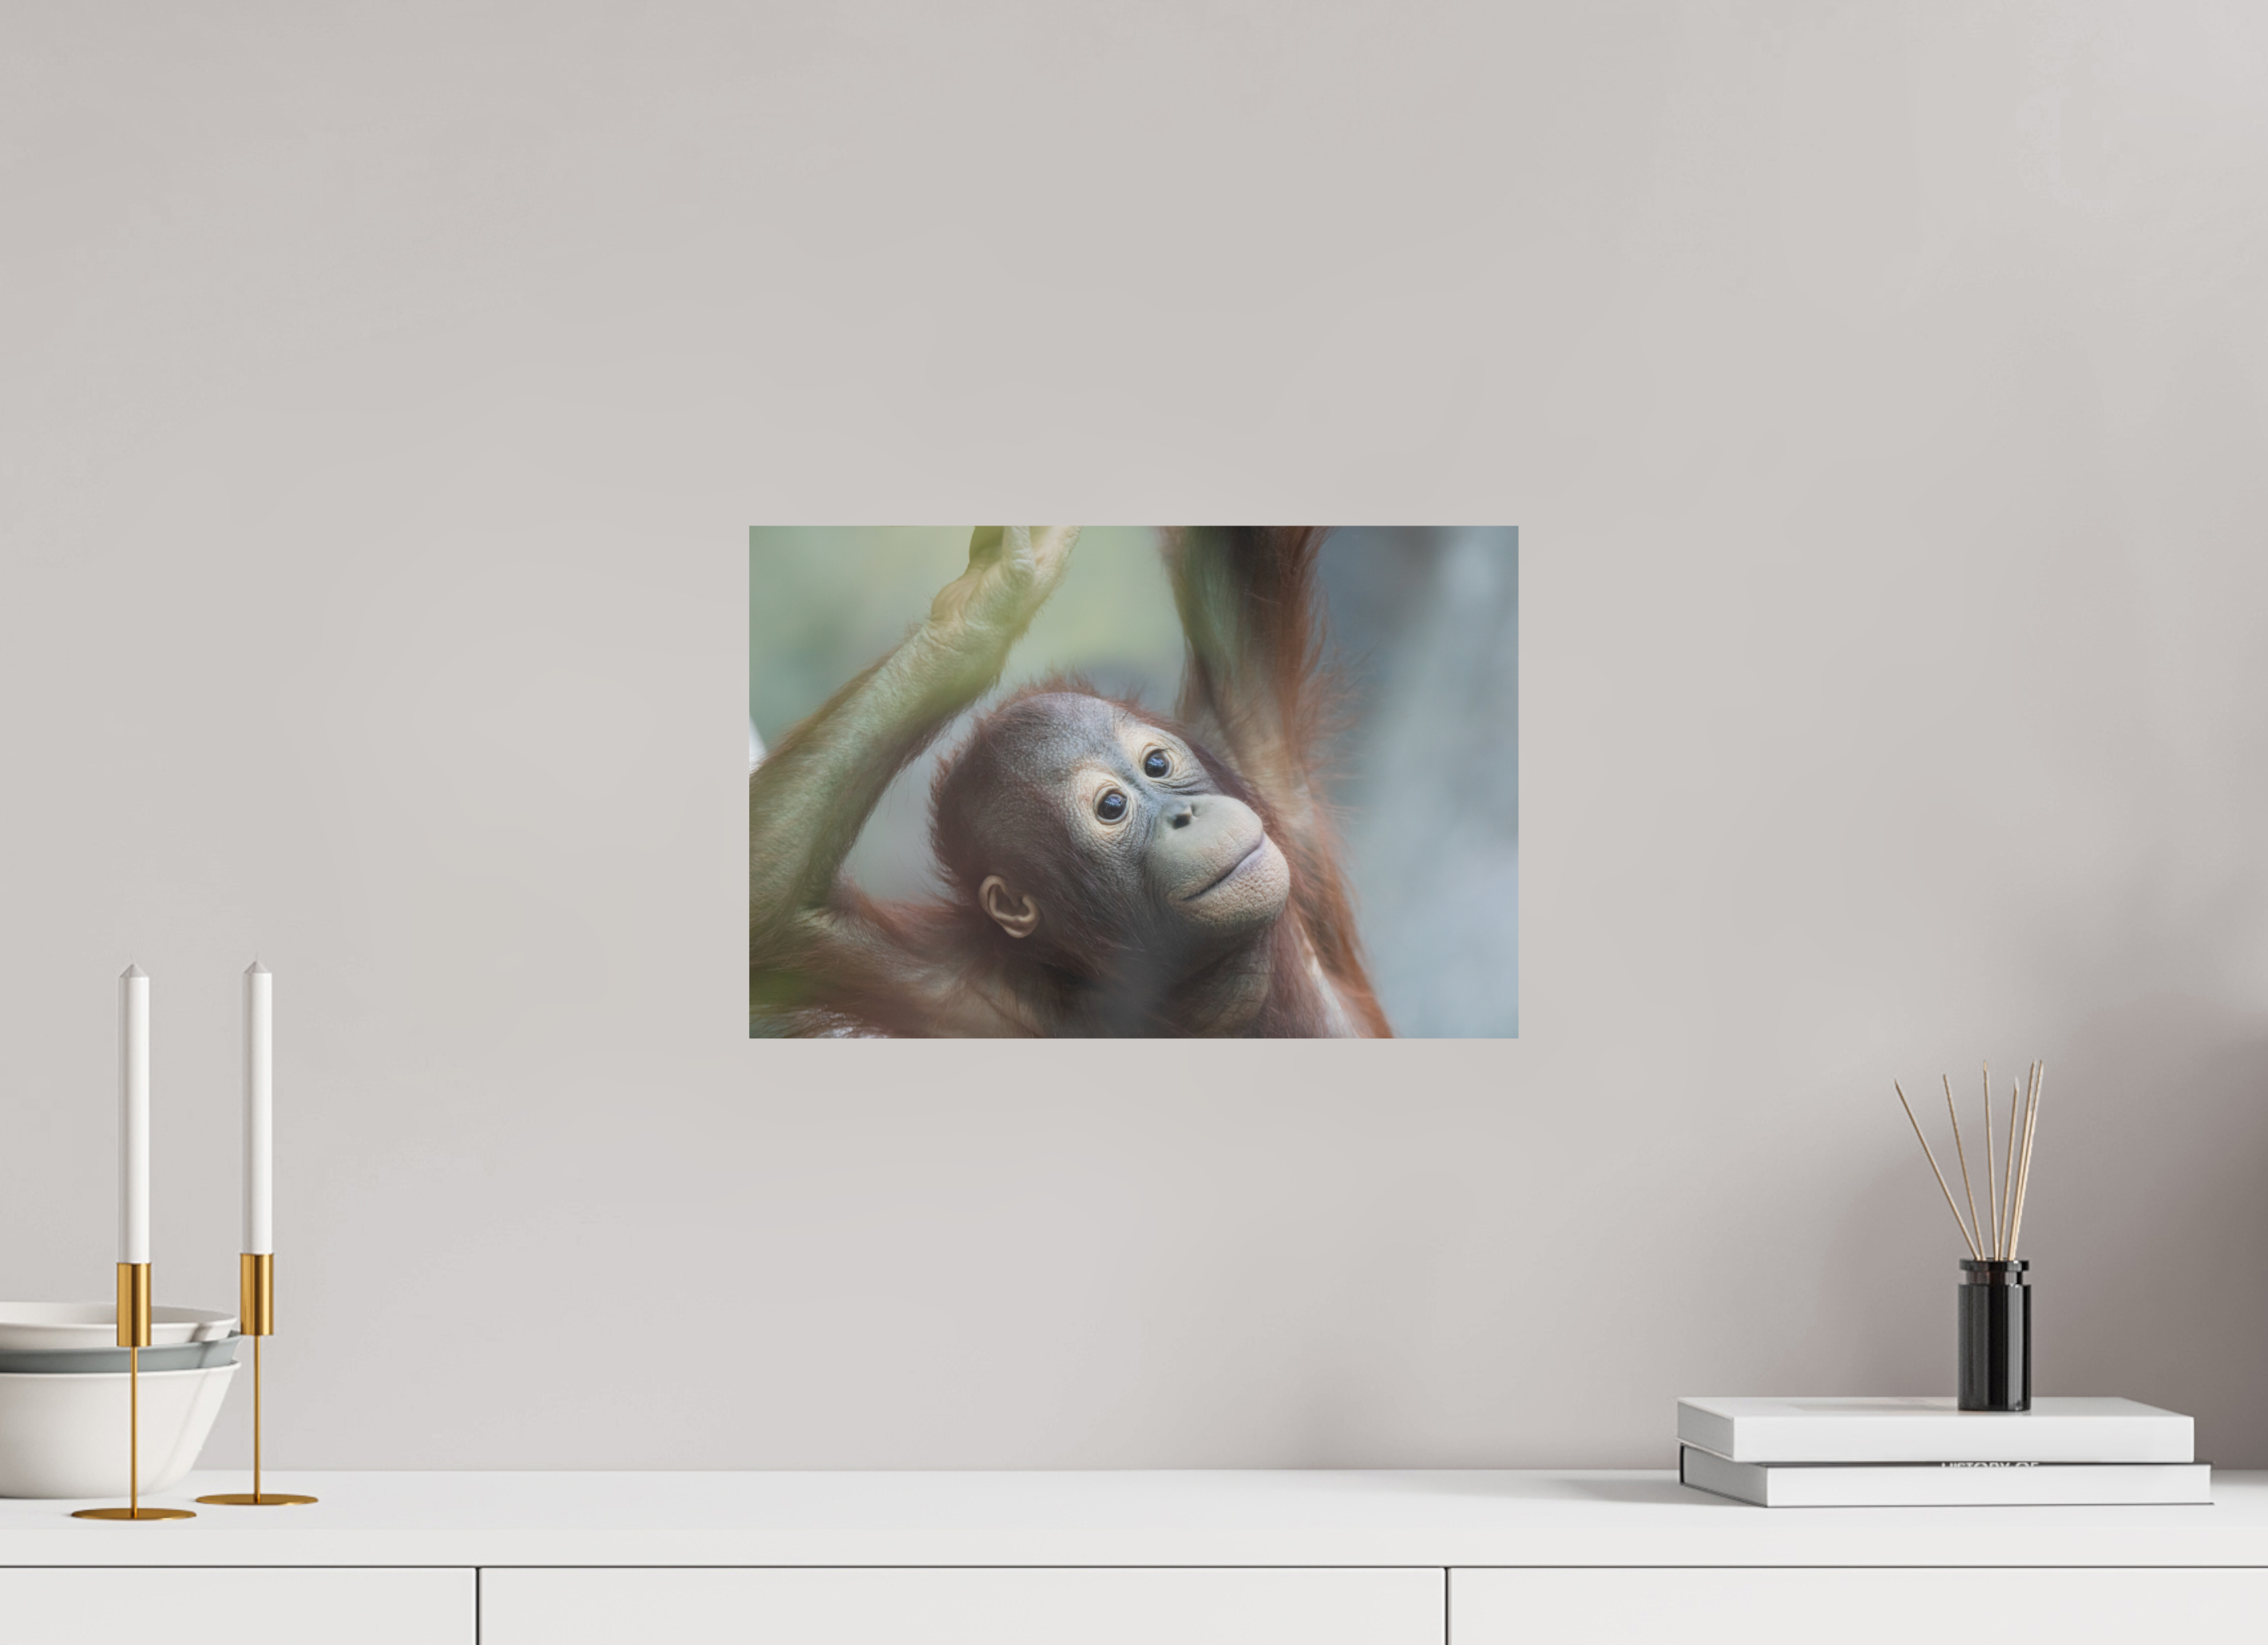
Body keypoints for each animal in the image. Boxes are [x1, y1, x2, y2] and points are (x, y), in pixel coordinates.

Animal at [749, 527, 1389, 1037]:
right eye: (1112, 807)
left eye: (1158, 766)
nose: (1185, 815)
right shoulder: (959, 990)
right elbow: (777, 920)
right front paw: (980, 615)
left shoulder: (1242, 743)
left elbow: (1234, 557)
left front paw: (991, 595)